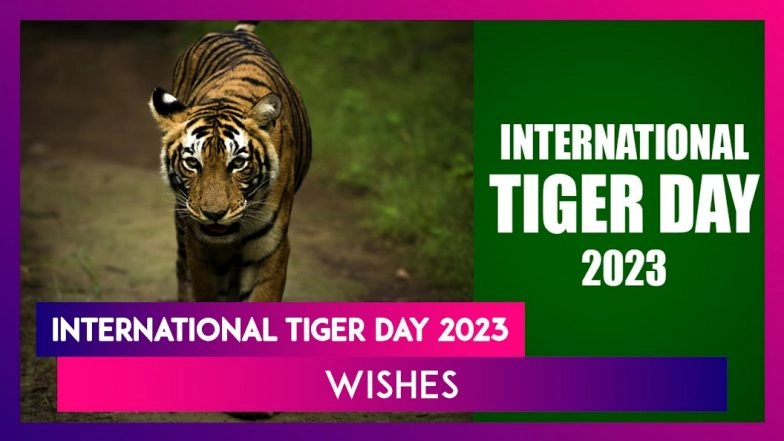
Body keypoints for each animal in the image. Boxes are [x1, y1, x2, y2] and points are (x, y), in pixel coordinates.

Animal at [149, 21, 311, 304]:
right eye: (192, 163)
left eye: (238, 164)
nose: (214, 215)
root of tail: (237, 32)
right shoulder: (200, 251)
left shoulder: (270, 249)